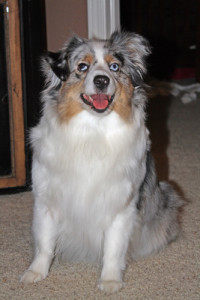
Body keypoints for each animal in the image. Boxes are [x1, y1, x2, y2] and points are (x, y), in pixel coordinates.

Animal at [21, 31, 182, 294]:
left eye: (114, 66)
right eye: (82, 67)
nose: (101, 81)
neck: (92, 130)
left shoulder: (121, 204)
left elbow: (113, 249)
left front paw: (110, 280)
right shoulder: (47, 199)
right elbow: (44, 242)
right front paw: (35, 272)